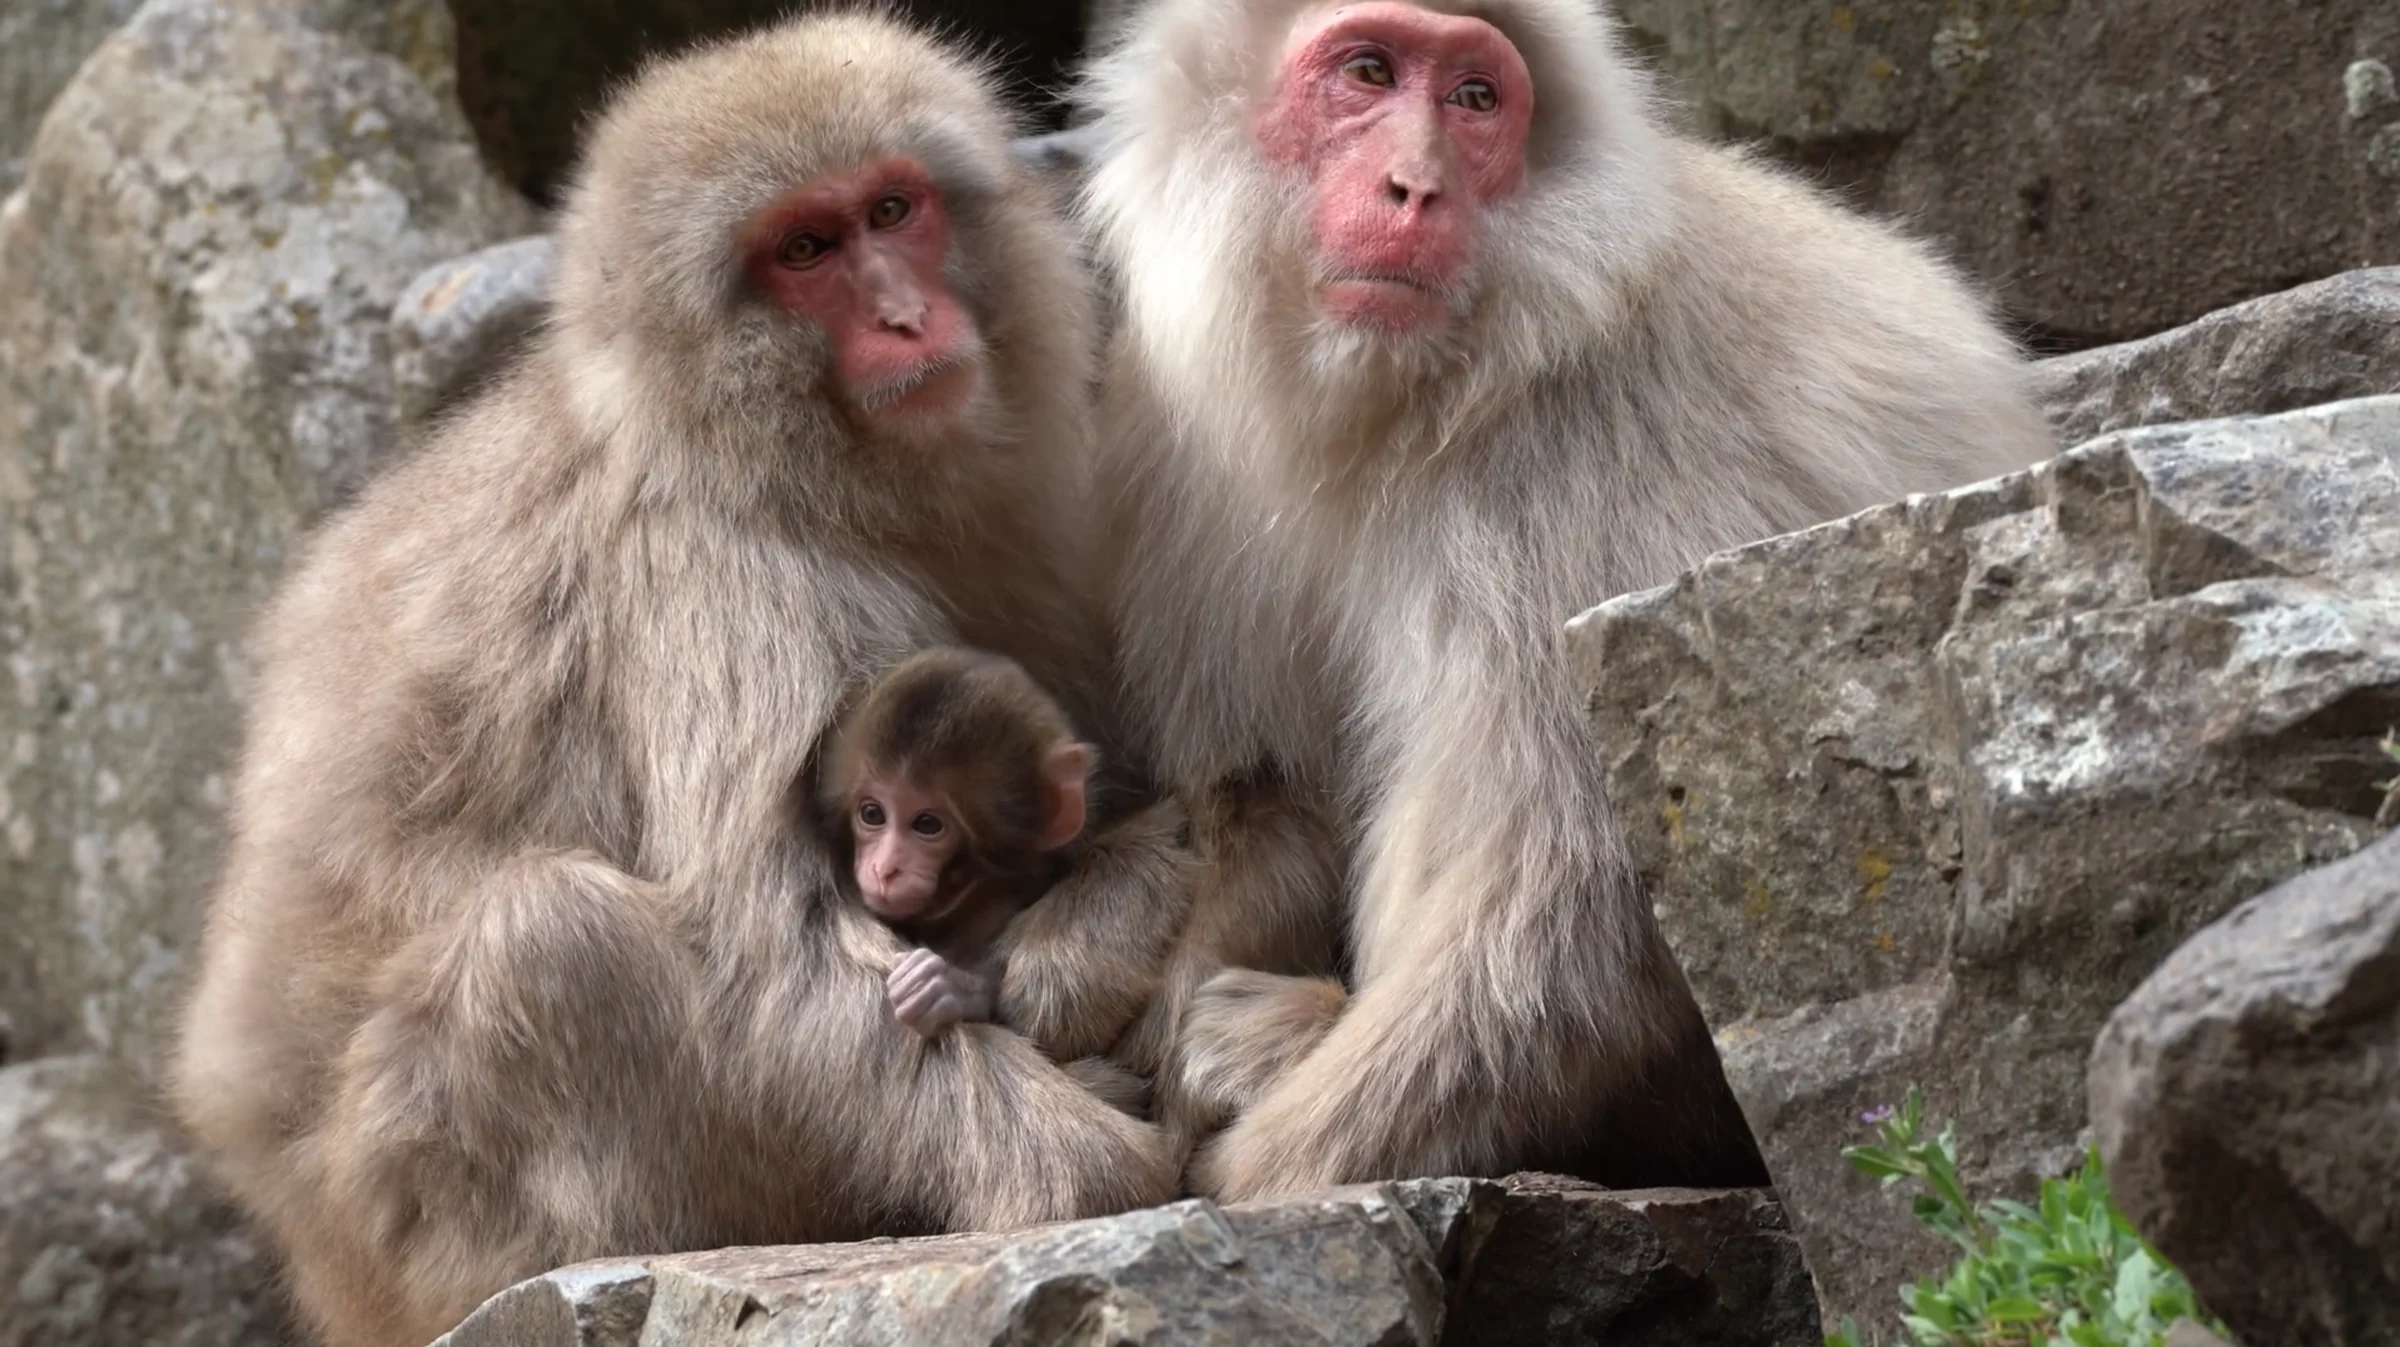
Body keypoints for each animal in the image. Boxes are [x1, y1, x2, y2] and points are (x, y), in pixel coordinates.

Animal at [1073, 0, 2060, 1200]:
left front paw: (1267, 1161)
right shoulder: (1184, 449)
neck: (1401, 401)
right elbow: (1260, 795)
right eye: (1368, 71)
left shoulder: (1595, 445)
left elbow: (1591, 872)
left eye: (1475, 99)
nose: (1417, 187)